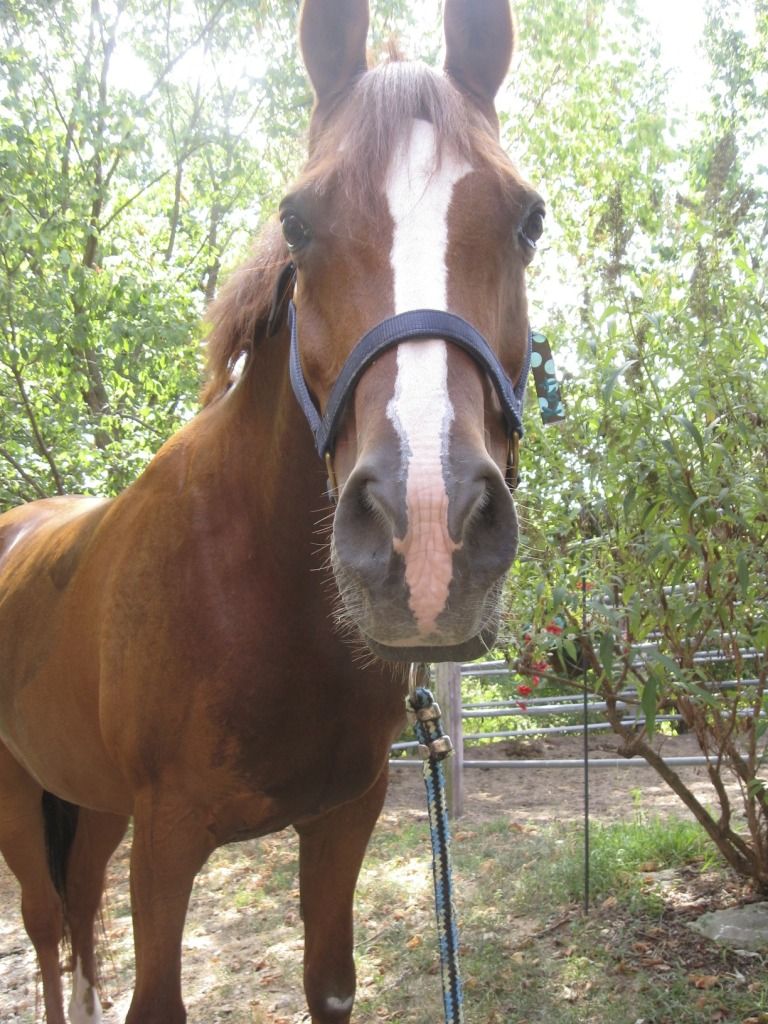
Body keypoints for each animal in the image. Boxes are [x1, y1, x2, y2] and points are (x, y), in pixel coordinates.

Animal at [0, 0, 544, 1020]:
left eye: (529, 221)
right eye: (297, 220)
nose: (425, 534)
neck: (249, 589)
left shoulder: (342, 819)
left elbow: (328, 985)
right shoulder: (167, 841)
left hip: (89, 804)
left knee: (80, 909)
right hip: (20, 798)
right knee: (49, 930)